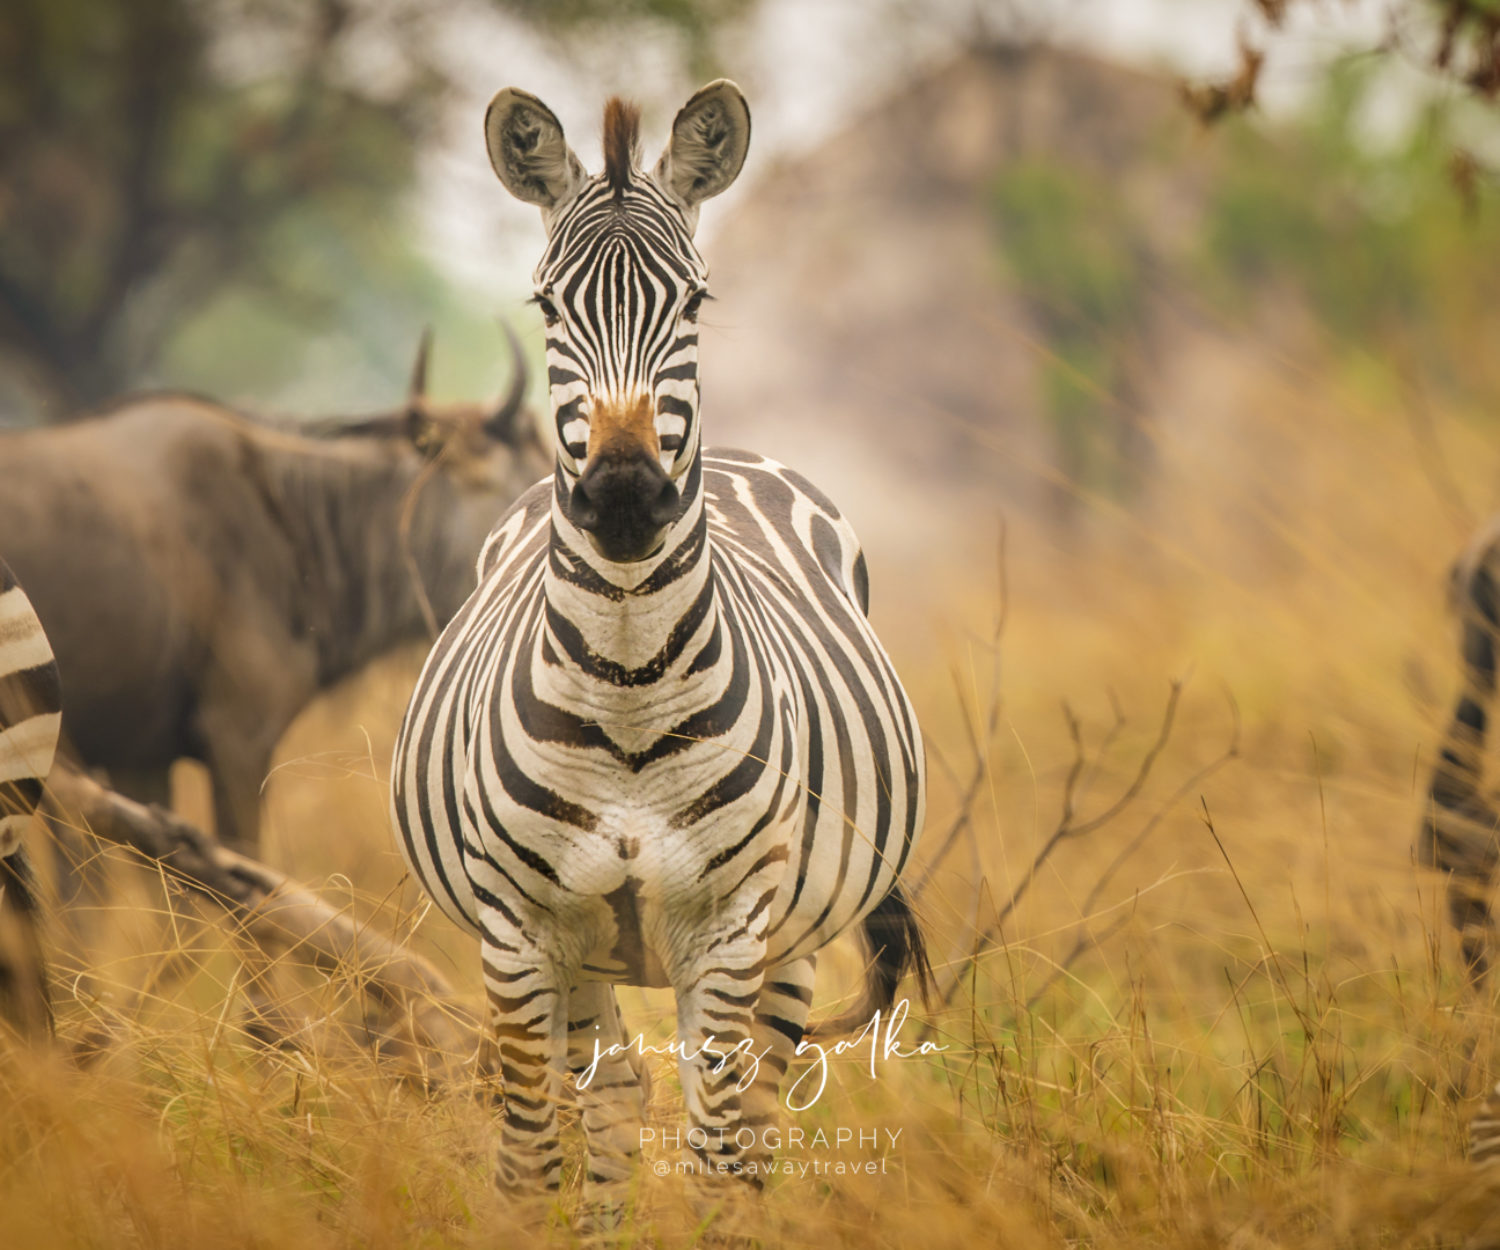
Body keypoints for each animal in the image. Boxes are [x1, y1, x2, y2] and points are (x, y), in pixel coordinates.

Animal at [390, 81, 929, 1215]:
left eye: (695, 303)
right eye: (548, 308)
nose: (629, 497)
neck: (630, 683)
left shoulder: (729, 927)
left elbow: (720, 1158)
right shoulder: (521, 931)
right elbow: (527, 1155)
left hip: (792, 932)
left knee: (752, 1118)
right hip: (589, 955)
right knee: (606, 1097)